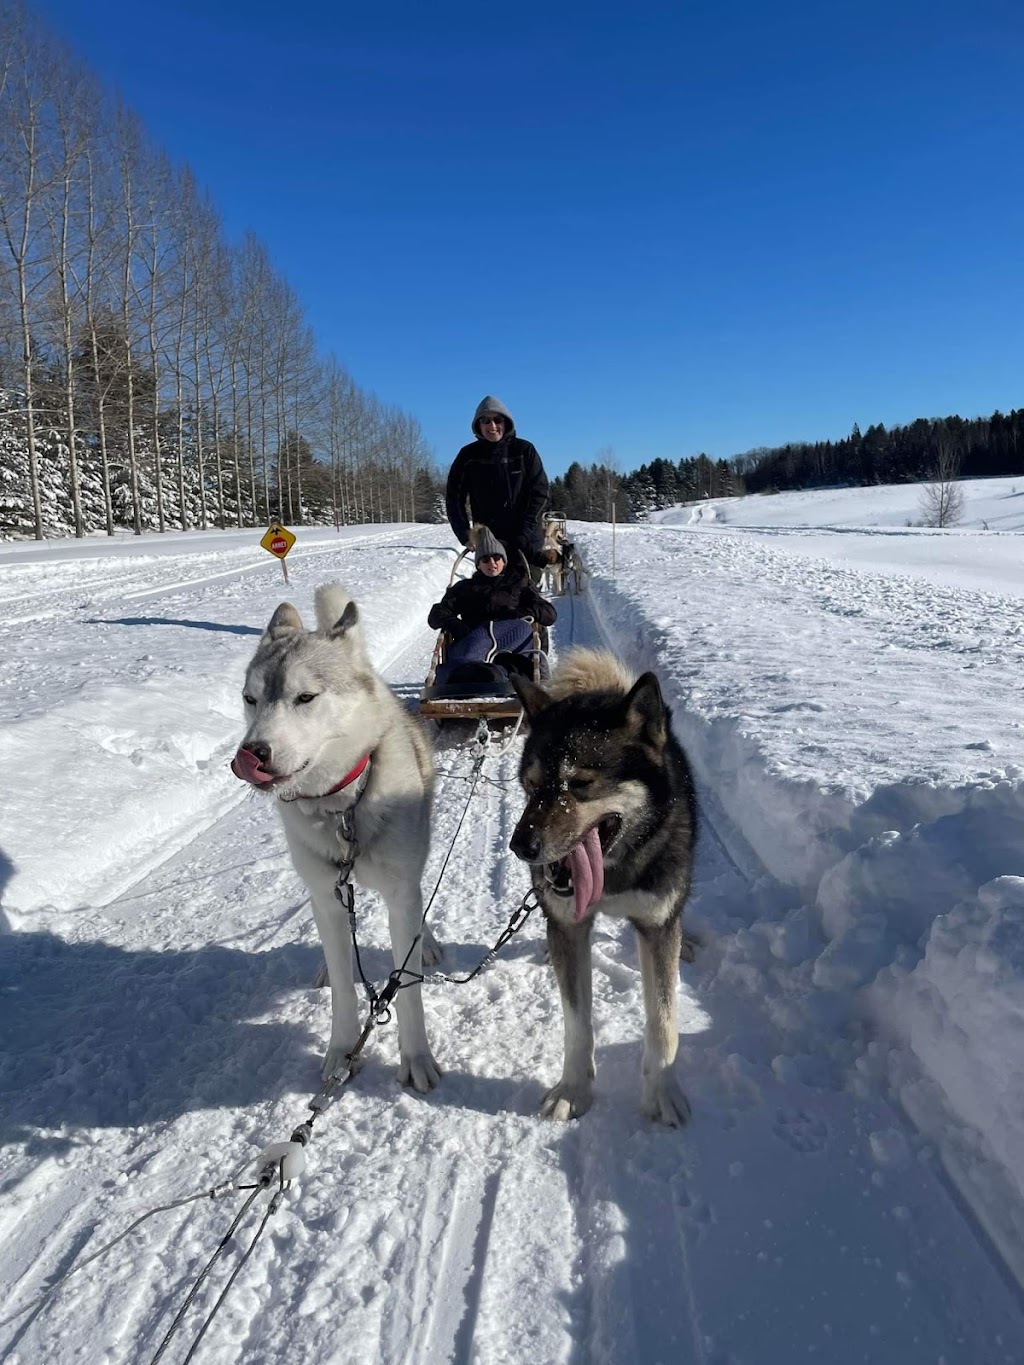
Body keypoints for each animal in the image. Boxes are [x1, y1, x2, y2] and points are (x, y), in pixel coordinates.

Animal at [232, 581, 442, 1092]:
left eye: (305, 697)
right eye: (250, 699)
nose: (251, 753)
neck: (343, 807)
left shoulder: (401, 893)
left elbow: (406, 986)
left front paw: (416, 1058)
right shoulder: (326, 896)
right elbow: (346, 993)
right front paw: (342, 1052)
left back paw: (424, 943)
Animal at [510, 655, 699, 1124]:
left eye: (580, 784)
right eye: (530, 784)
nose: (521, 847)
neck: (614, 871)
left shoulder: (656, 926)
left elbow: (664, 1022)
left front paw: (662, 1093)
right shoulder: (570, 927)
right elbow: (577, 1023)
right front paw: (574, 1089)